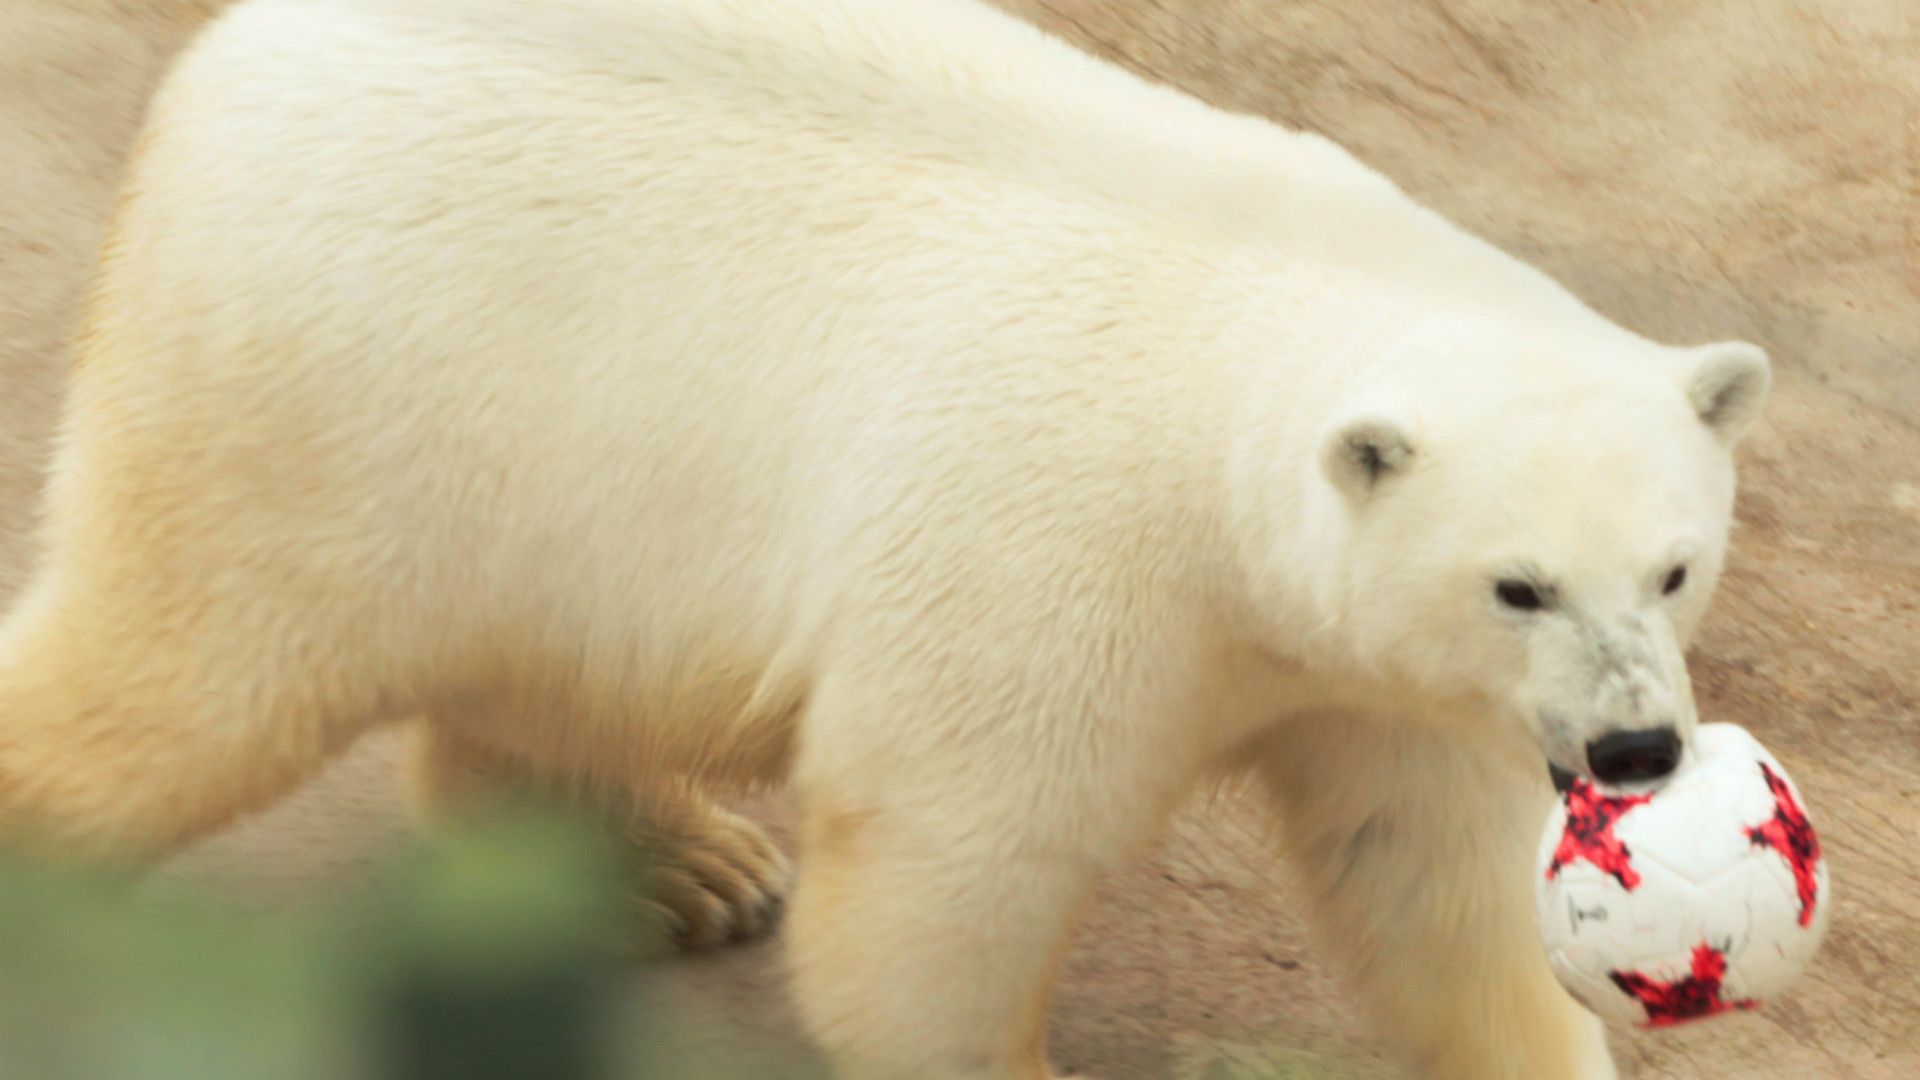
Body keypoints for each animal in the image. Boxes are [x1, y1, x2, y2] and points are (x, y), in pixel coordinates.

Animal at [0, 0, 1770, 1077]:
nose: (1632, 749)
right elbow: (951, 854)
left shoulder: (1388, 677)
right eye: (1518, 582)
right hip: (345, 376)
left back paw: (676, 867)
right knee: (186, 674)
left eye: (1673, 567)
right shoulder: (1066, 544)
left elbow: (1431, 878)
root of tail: (245, 48)